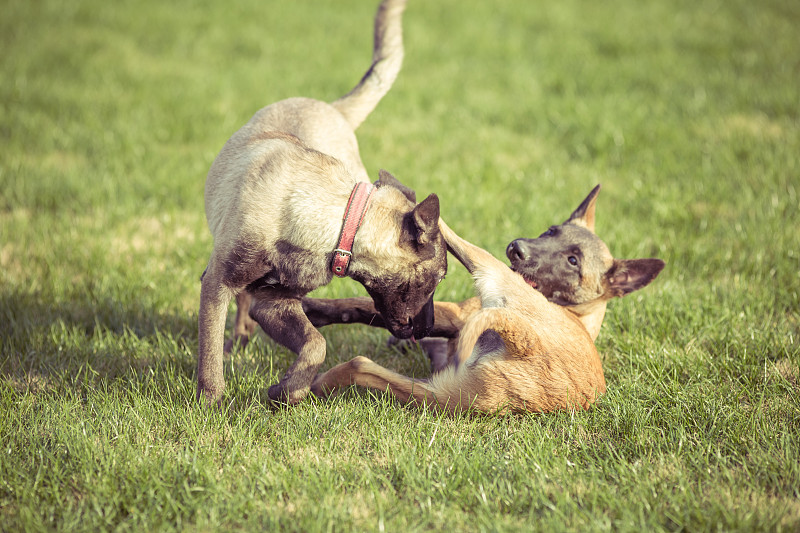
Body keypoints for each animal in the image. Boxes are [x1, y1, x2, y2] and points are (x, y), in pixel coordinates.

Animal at [195, 0, 450, 406]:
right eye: (438, 278)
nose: (428, 329)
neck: (339, 220)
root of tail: (332, 108)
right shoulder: (218, 282)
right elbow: (210, 352)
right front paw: (212, 402)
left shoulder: (276, 301)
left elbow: (316, 345)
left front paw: (289, 390)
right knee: (235, 311)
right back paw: (236, 342)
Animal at [306, 185, 664, 414]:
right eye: (551, 231)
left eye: (573, 261)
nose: (517, 248)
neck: (581, 317)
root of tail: (528, 340)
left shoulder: (454, 315)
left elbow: (364, 305)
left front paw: (315, 310)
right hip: (442, 393)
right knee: (367, 371)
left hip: (488, 273)